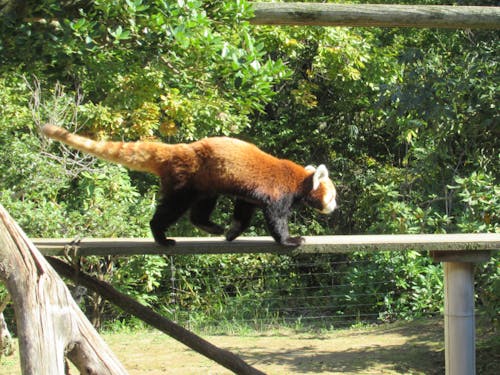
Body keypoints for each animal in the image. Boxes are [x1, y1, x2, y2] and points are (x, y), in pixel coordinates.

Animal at [40, 123, 336, 247]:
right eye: (332, 197)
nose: (334, 208)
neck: (299, 179)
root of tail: (179, 149)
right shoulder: (278, 193)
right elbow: (275, 218)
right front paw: (289, 240)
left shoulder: (250, 195)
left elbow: (243, 211)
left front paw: (232, 232)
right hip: (185, 181)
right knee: (171, 209)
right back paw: (161, 236)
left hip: (207, 183)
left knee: (200, 209)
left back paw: (210, 226)